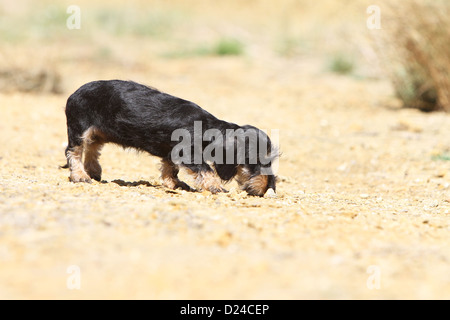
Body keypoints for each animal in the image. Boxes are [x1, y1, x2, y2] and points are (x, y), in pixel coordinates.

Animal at [61, 80, 276, 196]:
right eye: (253, 162)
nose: (268, 188)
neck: (207, 126)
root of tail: (74, 93)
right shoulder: (189, 153)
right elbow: (206, 170)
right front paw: (215, 187)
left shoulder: (171, 151)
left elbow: (169, 168)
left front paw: (173, 184)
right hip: (80, 128)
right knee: (74, 151)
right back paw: (80, 175)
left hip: (98, 133)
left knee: (92, 148)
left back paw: (92, 171)